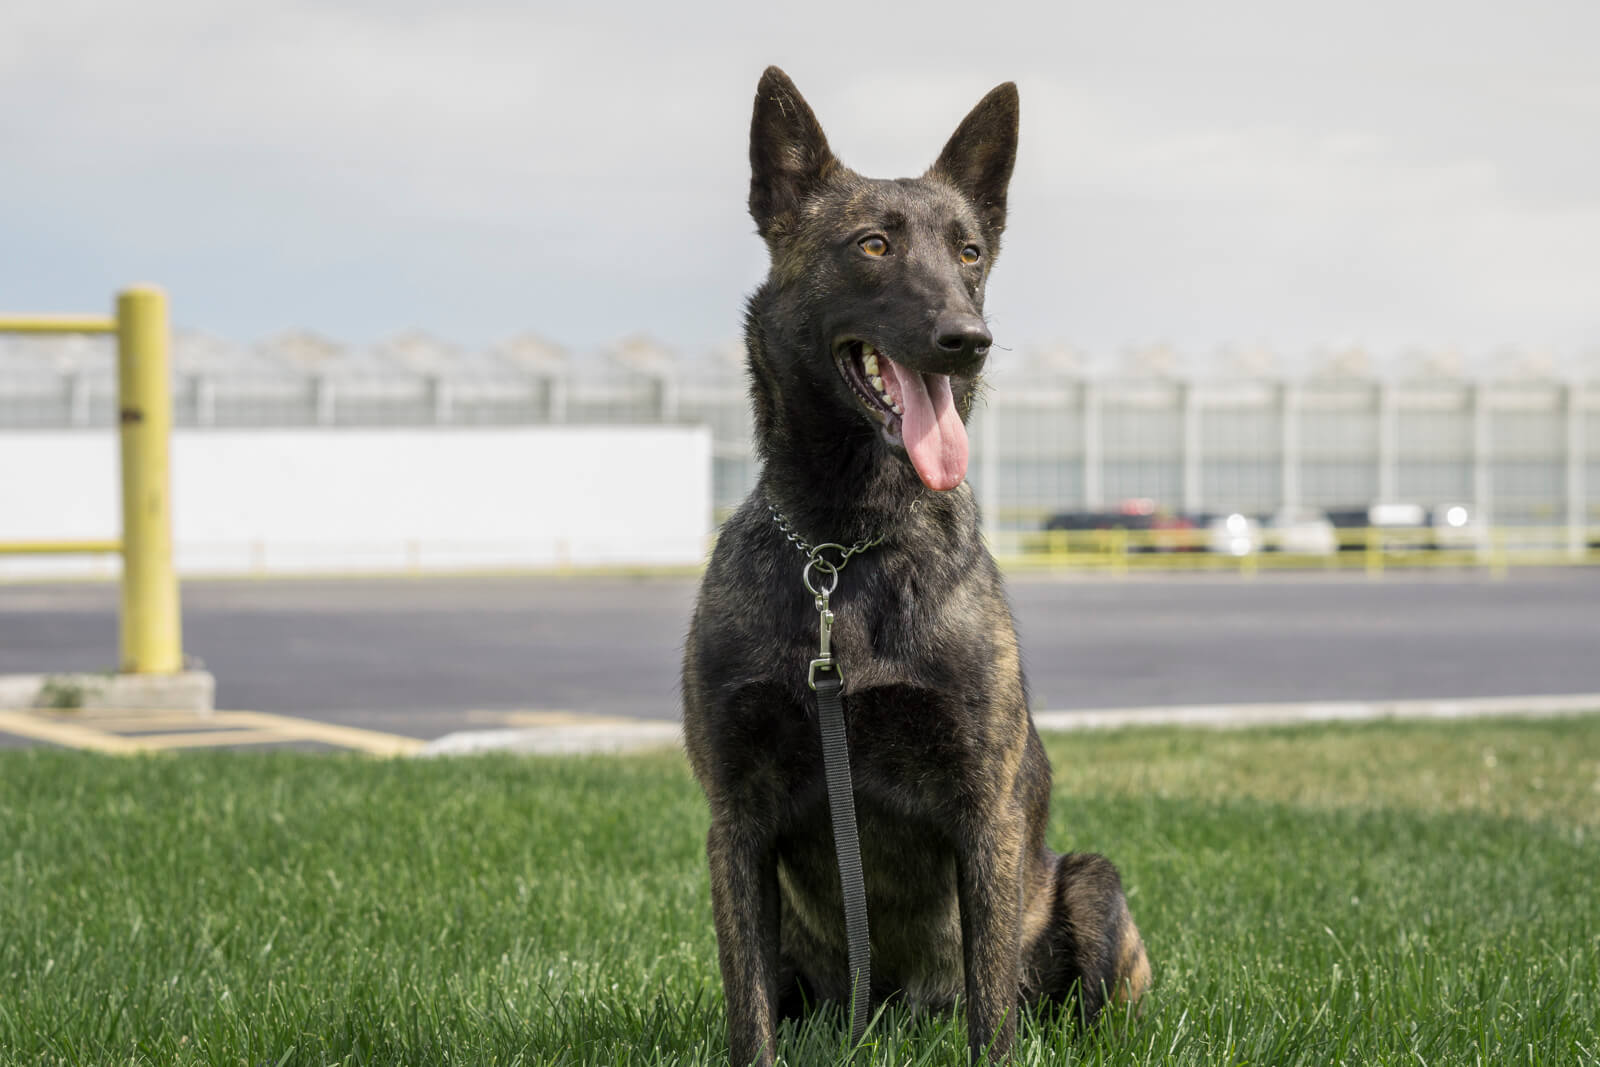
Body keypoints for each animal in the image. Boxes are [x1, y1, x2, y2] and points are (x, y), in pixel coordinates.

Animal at [678, 68, 1152, 1067]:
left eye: (969, 251)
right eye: (873, 245)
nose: (966, 337)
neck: (844, 549)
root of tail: (899, 1013)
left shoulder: (986, 814)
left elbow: (992, 1010)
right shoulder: (734, 822)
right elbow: (750, 1012)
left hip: (1092, 887)